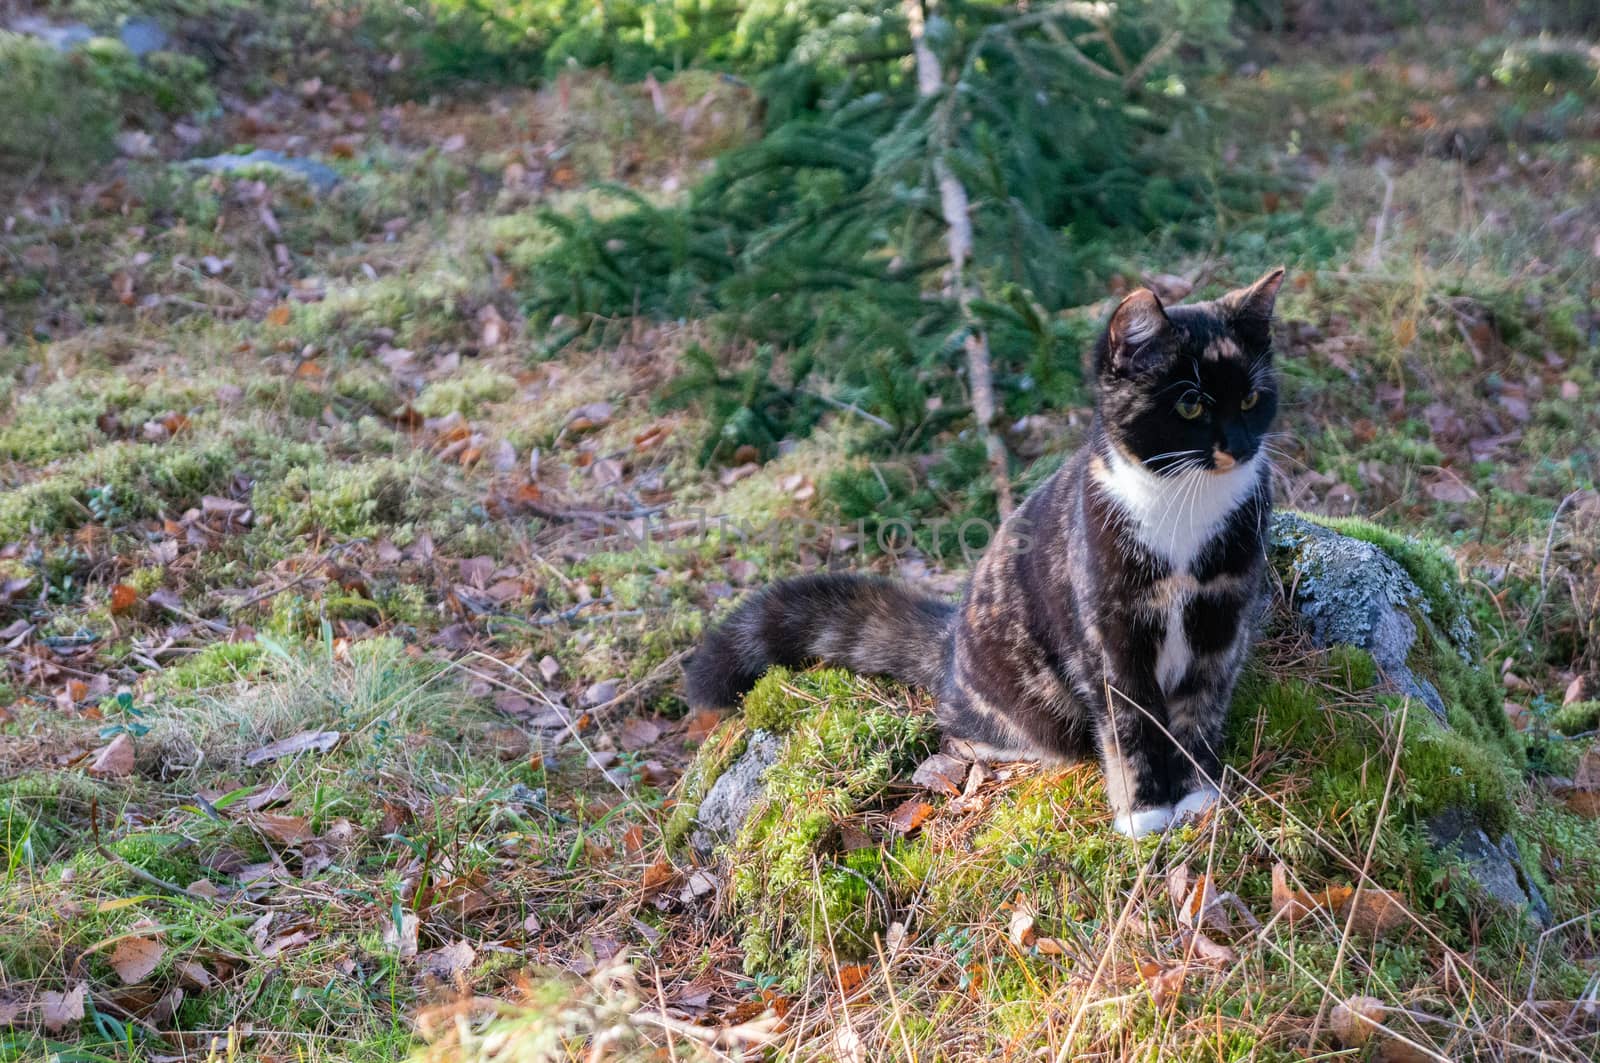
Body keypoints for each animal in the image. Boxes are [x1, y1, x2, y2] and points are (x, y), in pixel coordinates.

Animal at [688, 270, 1286, 832]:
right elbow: (1130, 725)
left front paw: (1198, 796)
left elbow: (1199, 711)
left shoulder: (1221, 620)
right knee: (968, 724)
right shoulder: (1110, 635)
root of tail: (950, 641)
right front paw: (1144, 814)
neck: (1185, 508)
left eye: (1252, 399)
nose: (1239, 446)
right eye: (1189, 404)